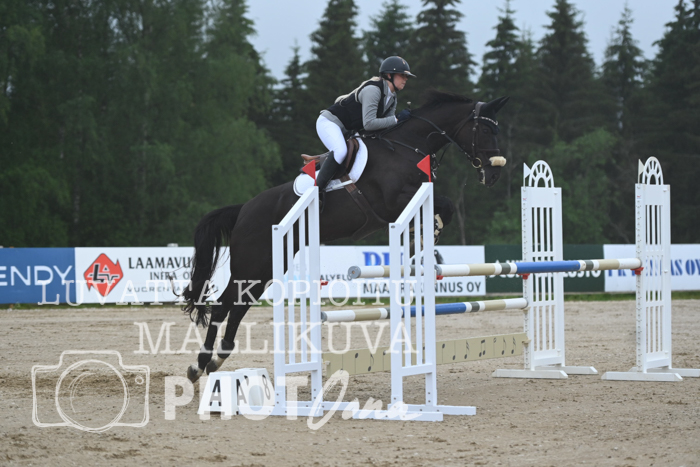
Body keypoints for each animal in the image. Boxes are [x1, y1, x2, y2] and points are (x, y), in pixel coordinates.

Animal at [181, 90, 509, 382]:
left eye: (497, 130)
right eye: (484, 129)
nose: (494, 174)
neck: (407, 146)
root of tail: (243, 209)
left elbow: (445, 206)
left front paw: (428, 233)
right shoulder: (393, 202)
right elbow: (444, 204)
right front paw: (427, 234)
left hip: (268, 267)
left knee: (239, 305)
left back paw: (217, 358)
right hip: (250, 263)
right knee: (224, 305)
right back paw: (200, 364)